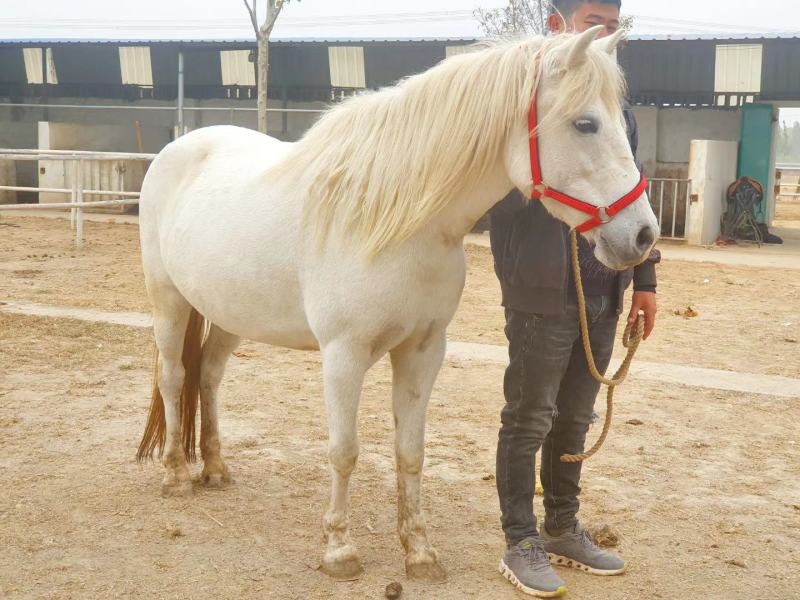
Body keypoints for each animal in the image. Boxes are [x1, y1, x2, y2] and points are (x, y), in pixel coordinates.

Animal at [136, 26, 659, 583]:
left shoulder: (423, 351)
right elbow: (344, 452)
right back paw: (175, 475)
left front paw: (420, 552)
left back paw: (215, 469)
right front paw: (339, 550)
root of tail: (179, 147)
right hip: (168, 302)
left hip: (228, 313)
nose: (643, 235)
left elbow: (411, 453)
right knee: (174, 378)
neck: (396, 220)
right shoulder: (343, 356)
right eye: (585, 124)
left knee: (209, 378)